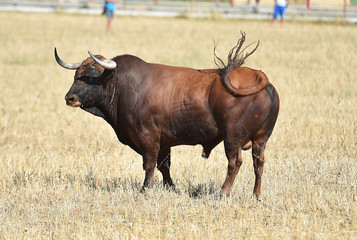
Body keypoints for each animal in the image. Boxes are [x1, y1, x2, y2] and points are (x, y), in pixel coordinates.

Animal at [55, 32, 278, 198]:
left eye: (92, 75)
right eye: (76, 75)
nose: (69, 98)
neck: (122, 84)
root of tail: (260, 78)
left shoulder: (148, 138)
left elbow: (149, 165)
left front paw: (145, 189)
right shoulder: (164, 142)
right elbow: (164, 166)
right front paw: (171, 188)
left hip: (232, 138)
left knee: (235, 163)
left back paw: (223, 192)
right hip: (260, 139)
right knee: (258, 163)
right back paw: (256, 195)